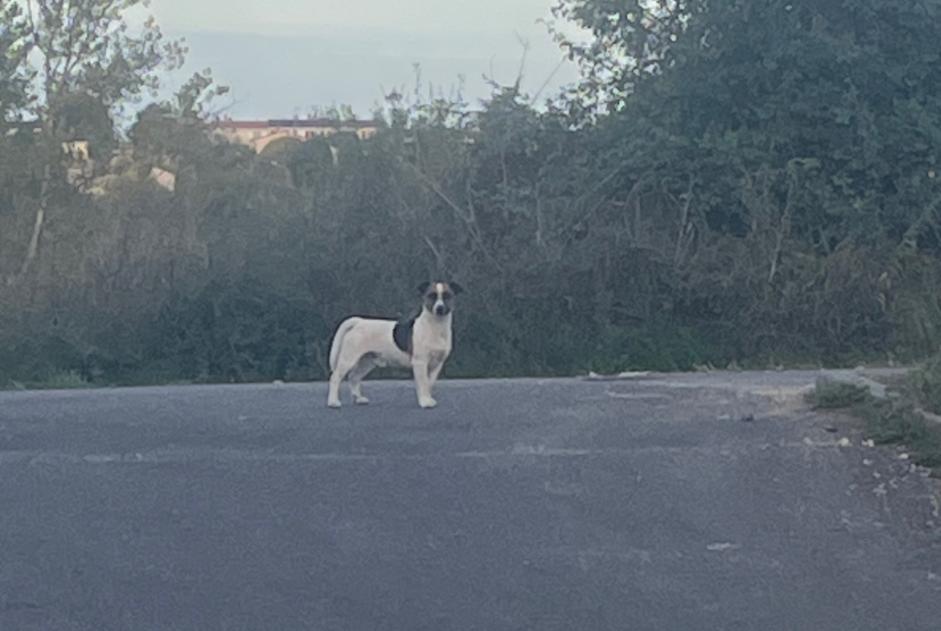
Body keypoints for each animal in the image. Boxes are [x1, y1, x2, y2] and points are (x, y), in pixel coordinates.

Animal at [324, 282, 464, 410]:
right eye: (431, 296)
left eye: (447, 296)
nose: (439, 308)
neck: (435, 327)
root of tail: (359, 322)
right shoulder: (420, 362)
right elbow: (423, 383)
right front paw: (425, 402)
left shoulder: (437, 364)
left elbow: (429, 383)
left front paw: (427, 399)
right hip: (348, 359)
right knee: (335, 377)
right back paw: (333, 402)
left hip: (367, 361)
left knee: (354, 377)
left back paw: (359, 399)